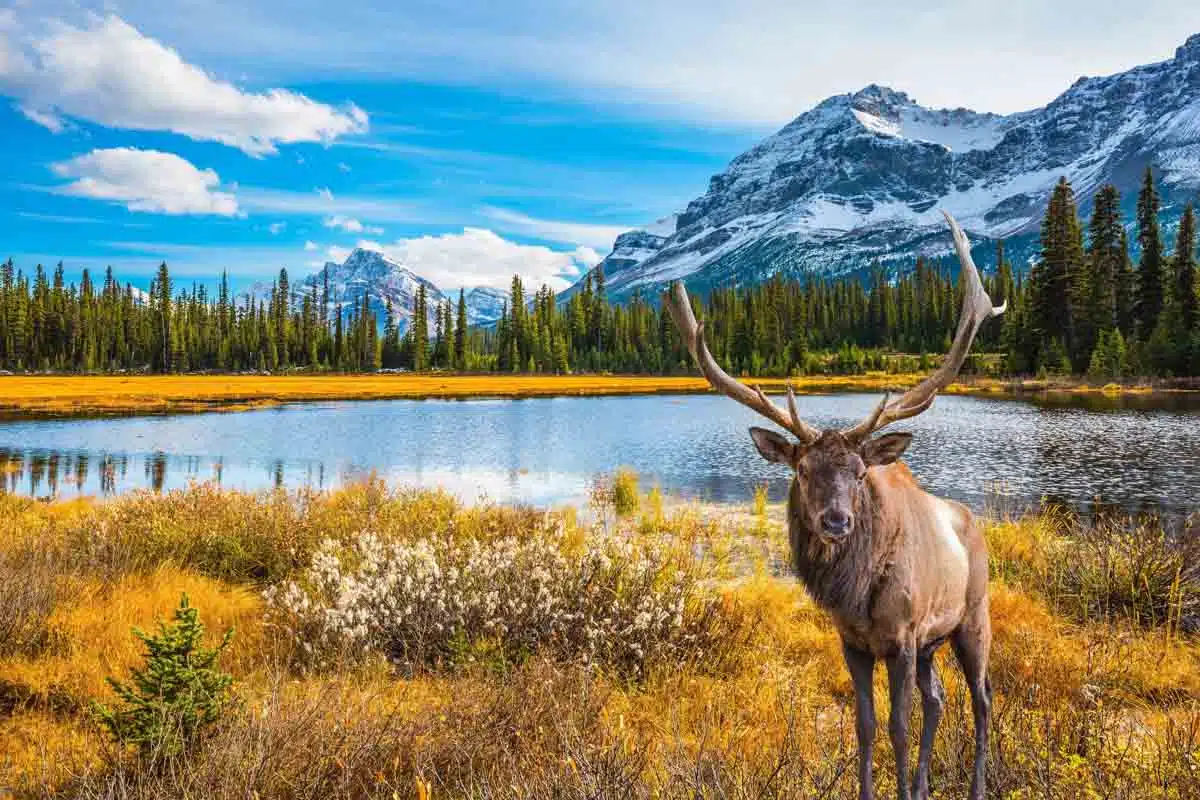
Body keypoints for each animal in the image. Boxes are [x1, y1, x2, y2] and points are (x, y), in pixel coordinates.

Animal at [667, 212, 1003, 800]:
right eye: (802, 471)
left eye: (860, 472)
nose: (836, 519)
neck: (858, 594)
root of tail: (973, 524)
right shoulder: (854, 642)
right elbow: (865, 726)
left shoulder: (903, 636)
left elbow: (897, 726)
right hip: (934, 642)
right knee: (939, 701)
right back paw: (924, 784)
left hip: (971, 618)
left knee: (983, 701)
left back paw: (977, 786)